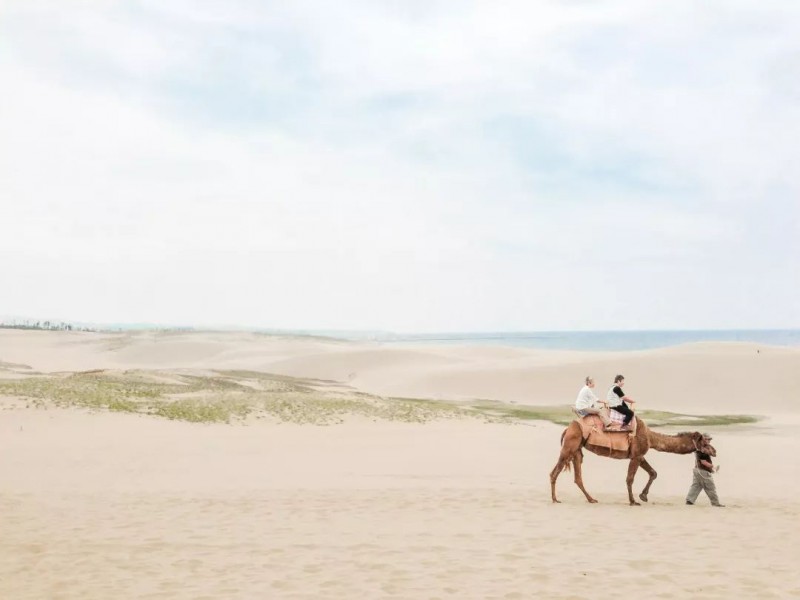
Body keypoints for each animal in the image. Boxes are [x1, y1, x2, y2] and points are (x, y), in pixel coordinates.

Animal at [552, 418, 716, 506]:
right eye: (705, 443)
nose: (714, 451)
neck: (650, 437)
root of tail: (567, 428)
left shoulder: (639, 455)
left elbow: (653, 472)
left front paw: (643, 496)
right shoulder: (636, 455)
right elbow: (630, 479)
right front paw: (633, 501)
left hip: (577, 450)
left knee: (578, 477)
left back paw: (591, 499)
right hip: (569, 445)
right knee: (554, 472)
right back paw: (555, 499)